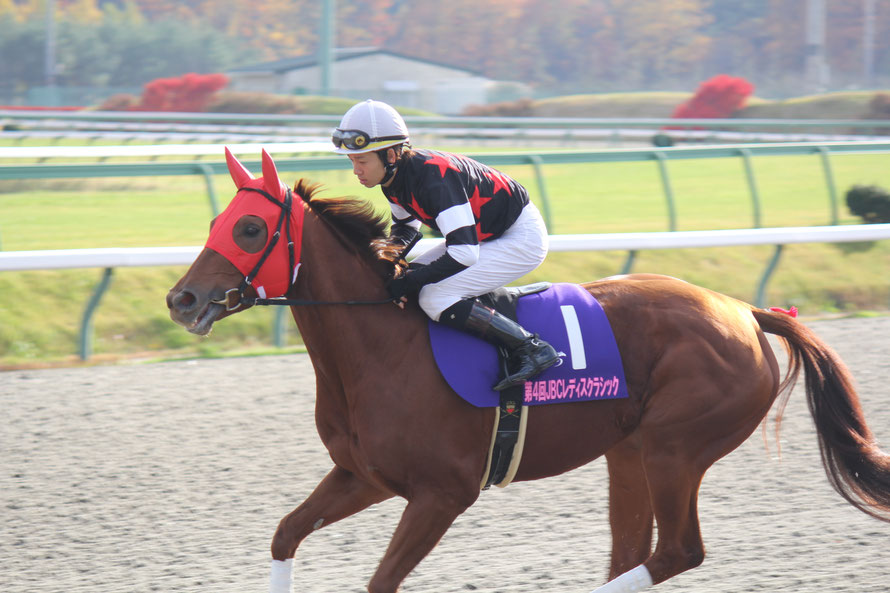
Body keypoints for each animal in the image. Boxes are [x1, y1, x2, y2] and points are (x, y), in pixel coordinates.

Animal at [166, 148, 888, 592]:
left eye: (251, 229)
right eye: (217, 219)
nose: (183, 299)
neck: (380, 349)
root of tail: (744, 310)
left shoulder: (443, 492)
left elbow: (380, 579)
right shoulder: (363, 476)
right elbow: (285, 534)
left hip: (675, 448)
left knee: (677, 552)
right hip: (629, 452)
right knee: (635, 553)